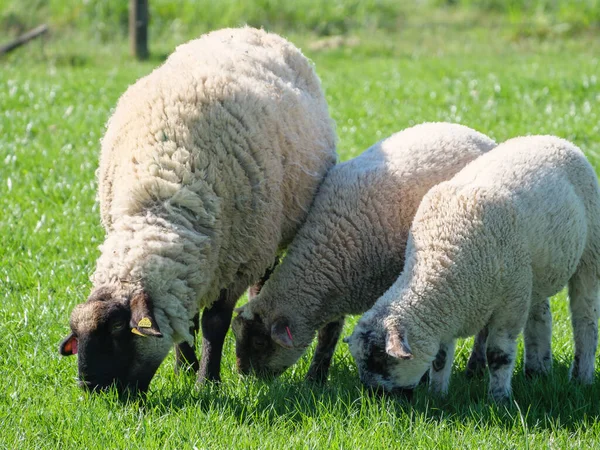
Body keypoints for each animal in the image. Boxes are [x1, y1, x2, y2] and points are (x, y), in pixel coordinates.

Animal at [58, 26, 340, 392]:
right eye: (77, 334)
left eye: (119, 329)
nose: (89, 387)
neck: (159, 201)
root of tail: (248, 28)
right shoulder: (194, 261)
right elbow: (186, 319)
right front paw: (185, 369)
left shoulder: (235, 261)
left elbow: (214, 323)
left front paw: (207, 379)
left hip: (266, 234)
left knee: (262, 282)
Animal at [232, 121, 494, 382]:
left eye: (258, 342)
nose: (245, 377)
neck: (329, 248)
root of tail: (465, 129)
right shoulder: (333, 294)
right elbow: (328, 335)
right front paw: (315, 379)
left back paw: (476, 368)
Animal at [344, 135, 600, 402]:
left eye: (378, 360)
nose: (373, 398)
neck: (440, 256)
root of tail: (552, 138)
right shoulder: (450, 312)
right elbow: (440, 359)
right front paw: (437, 395)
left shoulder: (510, 303)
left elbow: (498, 355)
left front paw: (499, 399)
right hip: (534, 273)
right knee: (541, 317)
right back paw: (537, 371)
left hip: (589, 255)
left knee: (585, 321)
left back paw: (582, 378)